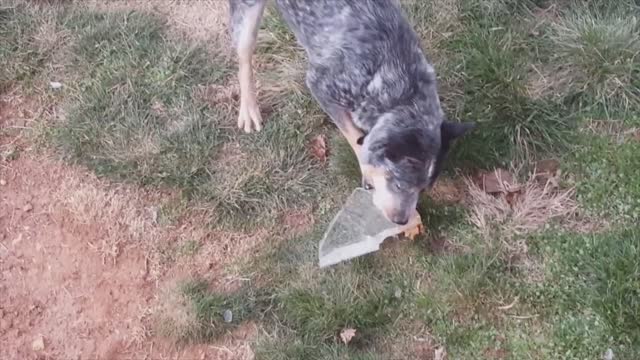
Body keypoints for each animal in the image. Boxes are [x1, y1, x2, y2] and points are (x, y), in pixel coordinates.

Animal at [230, 0, 476, 225]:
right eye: (398, 184)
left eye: (423, 189)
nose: (401, 221)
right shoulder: (321, 86)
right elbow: (354, 137)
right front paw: (367, 171)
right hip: (248, 15)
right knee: (243, 54)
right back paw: (249, 109)